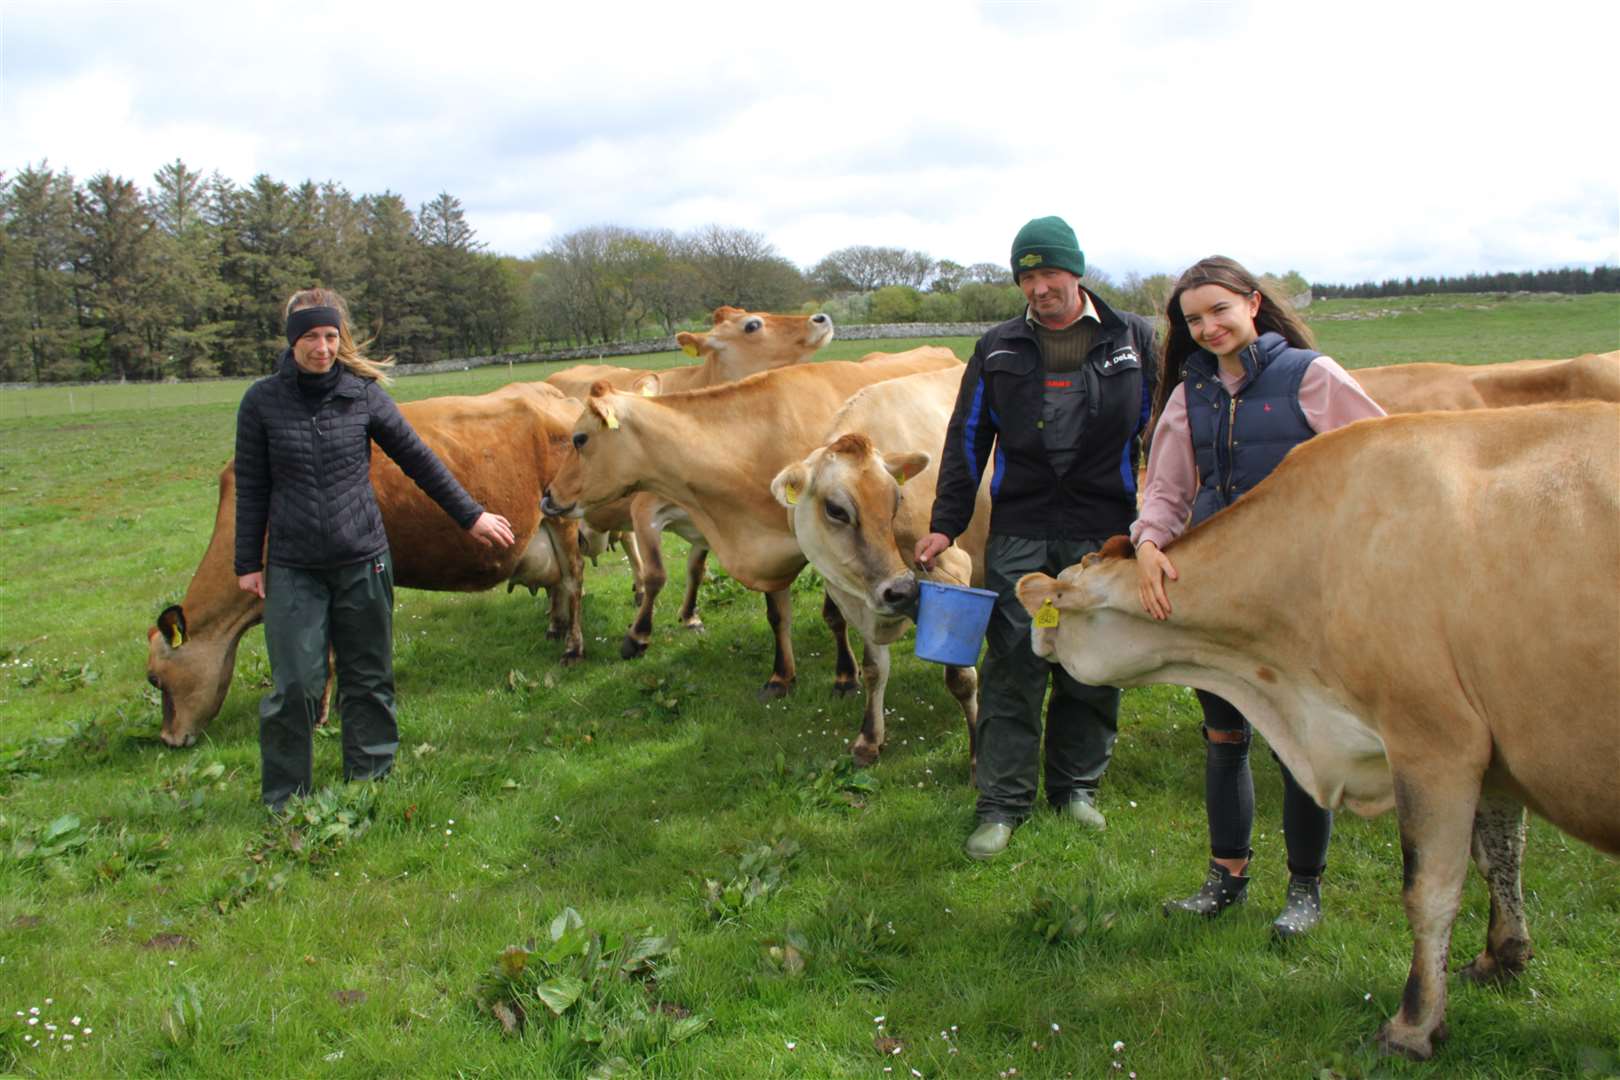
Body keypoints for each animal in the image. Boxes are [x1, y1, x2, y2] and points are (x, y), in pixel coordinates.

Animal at [147, 382, 589, 751]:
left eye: (155, 679)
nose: (168, 739)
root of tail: (557, 396)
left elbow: (325, 655)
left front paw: (321, 717)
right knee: (559, 587)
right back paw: (556, 630)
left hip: (564, 522)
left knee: (572, 584)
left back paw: (573, 648)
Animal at [541, 351, 959, 696]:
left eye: (579, 438)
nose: (547, 496)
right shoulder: (770, 549)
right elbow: (776, 615)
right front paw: (781, 676)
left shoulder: (830, 550)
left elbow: (833, 615)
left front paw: (844, 675)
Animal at [767, 367, 984, 773]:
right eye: (836, 509)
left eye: (897, 499)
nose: (903, 590)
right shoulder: (858, 598)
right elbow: (873, 668)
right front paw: (869, 739)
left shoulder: (952, 571)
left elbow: (960, 676)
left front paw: (981, 754)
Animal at [1017, 403, 1613, 1055]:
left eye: (1062, 595)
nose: (1031, 623)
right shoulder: (1494, 751)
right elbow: (1501, 856)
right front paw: (1501, 958)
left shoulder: (1436, 743)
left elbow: (1430, 891)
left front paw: (1412, 1025)